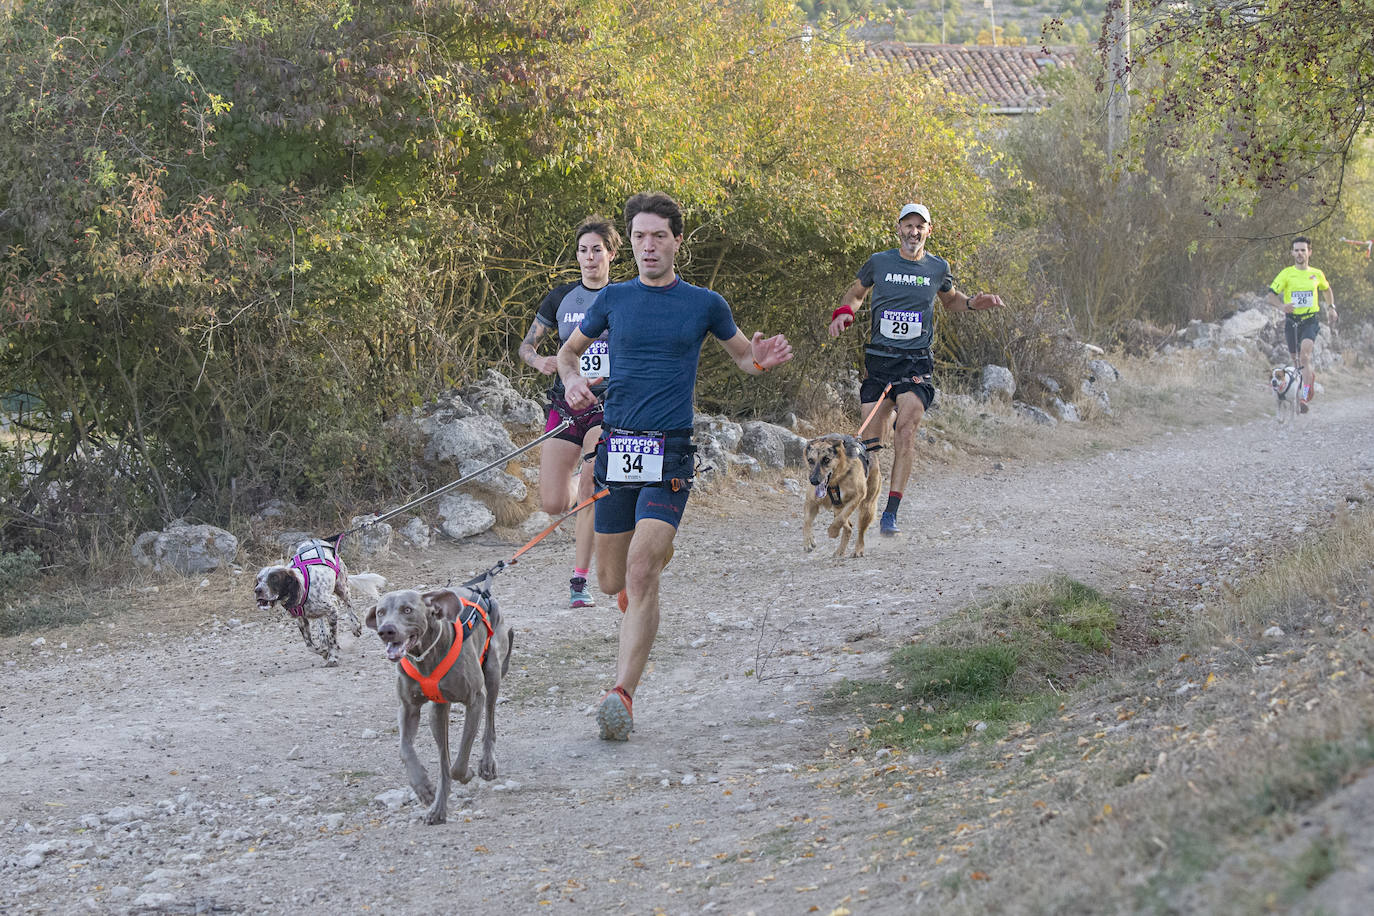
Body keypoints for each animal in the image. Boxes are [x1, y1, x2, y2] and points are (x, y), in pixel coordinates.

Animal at [250, 538, 381, 667]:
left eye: (274, 579)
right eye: (259, 580)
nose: (257, 590)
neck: (303, 588)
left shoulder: (332, 608)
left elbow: (332, 639)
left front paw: (332, 657)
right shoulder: (301, 620)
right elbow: (310, 645)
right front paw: (324, 652)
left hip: (341, 587)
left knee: (349, 604)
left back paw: (355, 625)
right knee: (320, 619)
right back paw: (323, 636)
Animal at [365, 587, 516, 829]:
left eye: (407, 610)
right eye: (380, 612)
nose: (386, 630)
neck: (425, 656)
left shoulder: (475, 700)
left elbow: (459, 762)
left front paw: (467, 773)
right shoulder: (409, 707)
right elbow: (406, 750)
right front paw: (423, 788)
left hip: (492, 671)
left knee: (489, 723)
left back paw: (487, 764)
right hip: (438, 710)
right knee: (444, 760)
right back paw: (438, 809)